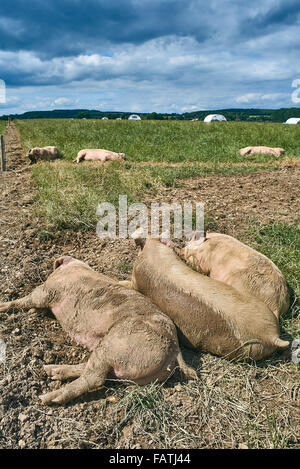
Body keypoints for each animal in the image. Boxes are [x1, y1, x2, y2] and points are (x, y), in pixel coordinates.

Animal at [0, 254, 196, 404]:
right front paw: (33, 312)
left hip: (118, 343)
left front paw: (4, 306)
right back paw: (51, 371)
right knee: (92, 369)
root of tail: (174, 347)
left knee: (94, 378)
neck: (76, 267)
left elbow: (25, 299)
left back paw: (46, 397)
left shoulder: (48, 289)